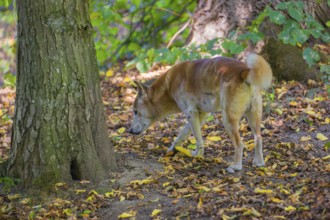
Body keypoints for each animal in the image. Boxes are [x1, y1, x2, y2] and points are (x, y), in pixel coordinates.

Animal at [127, 52, 272, 172]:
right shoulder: (202, 114)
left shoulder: (191, 113)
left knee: (239, 143)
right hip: (253, 115)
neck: (169, 86)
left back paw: (236, 166)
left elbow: (197, 138)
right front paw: (173, 149)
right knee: (258, 138)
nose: (129, 131)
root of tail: (244, 71)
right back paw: (259, 162)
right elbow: (183, 133)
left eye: (135, 112)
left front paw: (197, 155)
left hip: (228, 119)